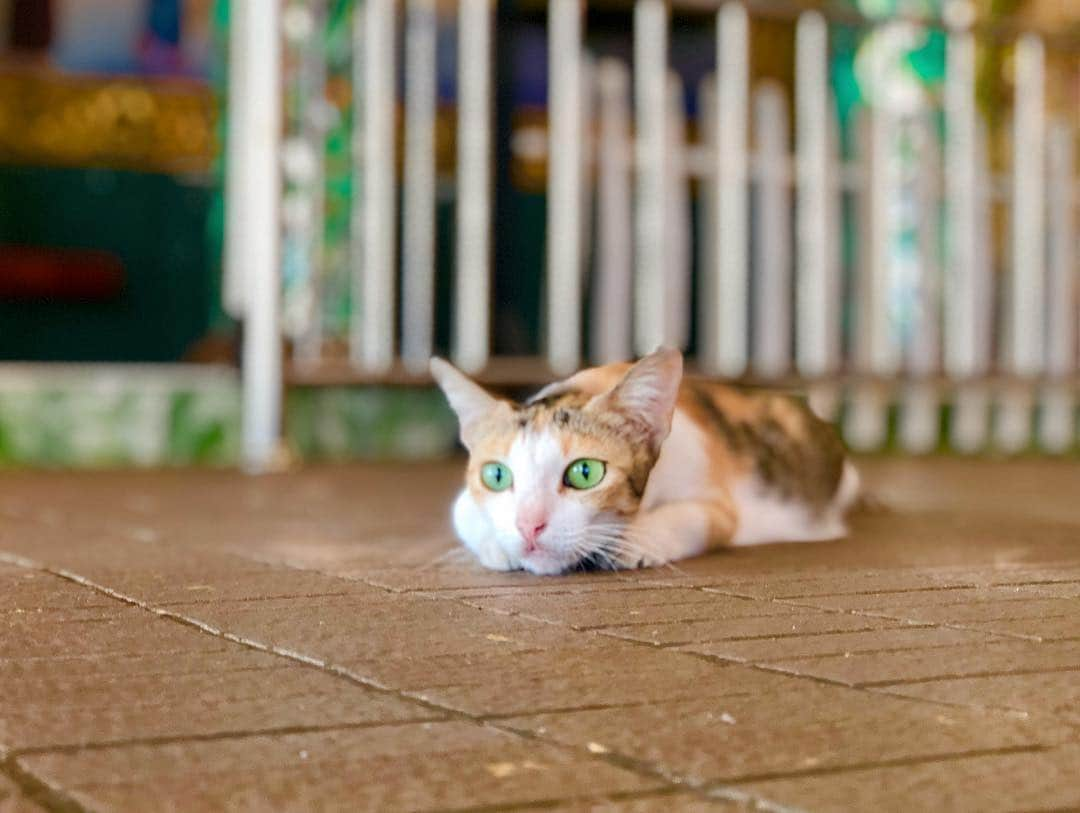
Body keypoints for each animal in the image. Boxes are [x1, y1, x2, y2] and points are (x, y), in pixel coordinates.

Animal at [429, 345, 859, 574]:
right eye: (496, 476)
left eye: (585, 472)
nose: (528, 526)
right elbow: (460, 510)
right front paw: (498, 545)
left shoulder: (714, 493)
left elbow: (699, 518)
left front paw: (633, 542)